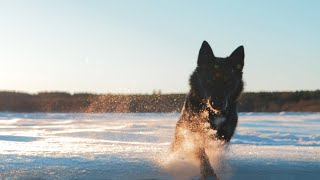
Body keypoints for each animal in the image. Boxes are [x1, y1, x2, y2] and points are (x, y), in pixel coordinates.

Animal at [172, 41, 245, 180]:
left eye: (228, 81)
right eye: (210, 79)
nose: (218, 104)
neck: (212, 112)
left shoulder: (225, 137)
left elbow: (219, 155)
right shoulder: (195, 132)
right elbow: (202, 154)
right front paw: (208, 173)